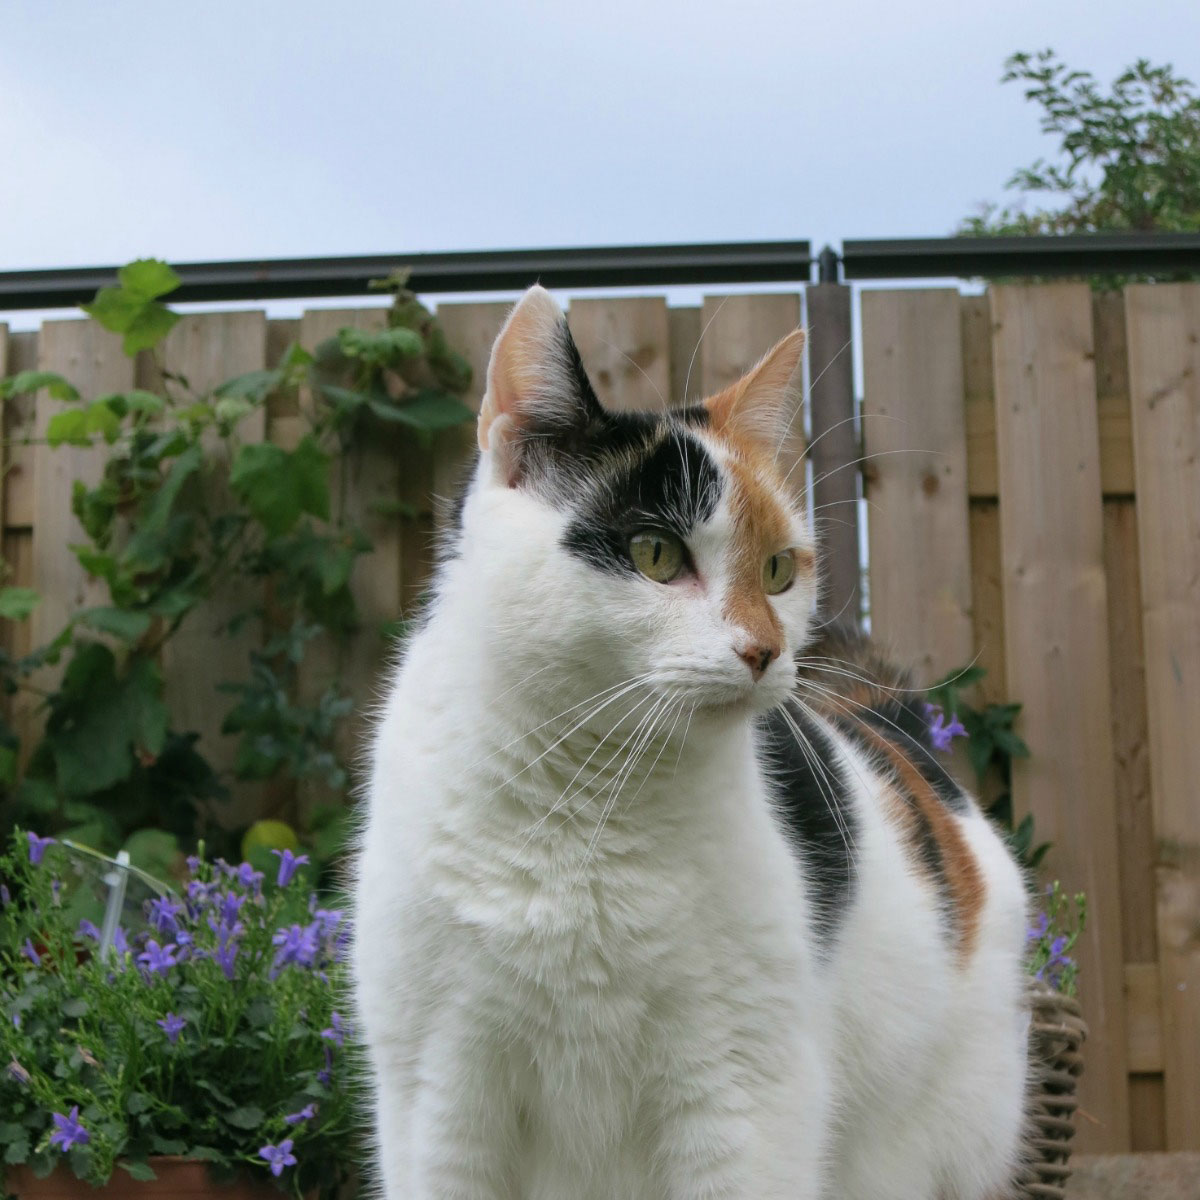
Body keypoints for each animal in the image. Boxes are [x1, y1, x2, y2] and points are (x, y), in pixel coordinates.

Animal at [350, 285, 1032, 1195]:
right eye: (655, 553)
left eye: (778, 570)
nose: (765, 651)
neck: (587, 799)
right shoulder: (436, 1096)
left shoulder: (742, 1099)